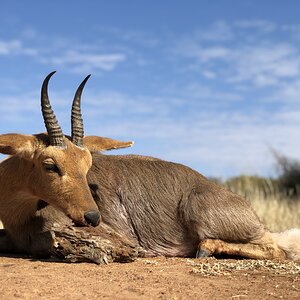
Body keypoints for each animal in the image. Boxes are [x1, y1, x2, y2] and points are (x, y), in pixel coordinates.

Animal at [0, 72, 298, 260]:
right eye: (50, 165)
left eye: (87, 166)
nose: (93, 217)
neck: (20, 214)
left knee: (276, 248)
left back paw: (205, 249)